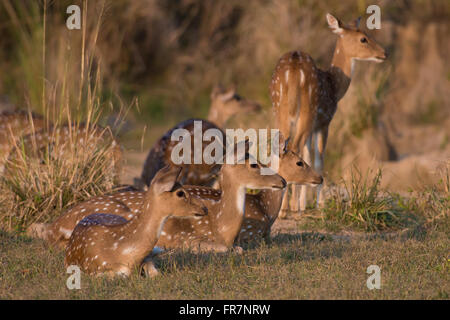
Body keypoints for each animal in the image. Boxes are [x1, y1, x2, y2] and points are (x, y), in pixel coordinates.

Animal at [268, 14, 388, 215]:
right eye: (363, 38)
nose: (384, 53)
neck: (335, 87)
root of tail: (292, 70)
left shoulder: (313, 127)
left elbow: (307, 156)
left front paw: (303, 202)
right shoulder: (324, 122)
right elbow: (319, 160)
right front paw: (319, 204)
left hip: (280, 111)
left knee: (282, 147)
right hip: (307, 112)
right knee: (294, 146)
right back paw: (287, 208)